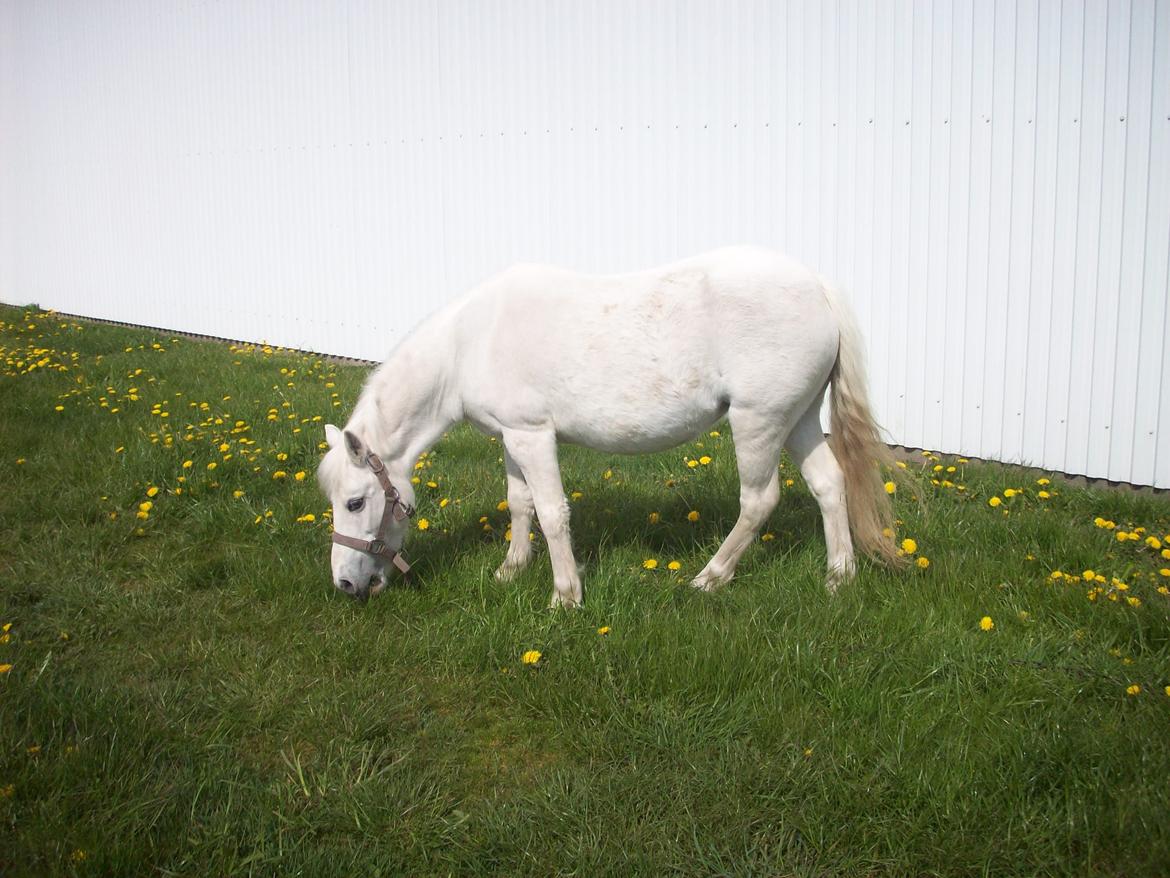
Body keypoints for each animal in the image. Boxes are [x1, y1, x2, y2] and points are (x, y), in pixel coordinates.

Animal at [320, 244, 903, 608]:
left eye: (354, 501)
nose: (345, 584)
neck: (470, 343)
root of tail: (818, 286)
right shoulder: (512, 436)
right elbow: (520, 504)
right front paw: (510, 570)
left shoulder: (533, 436)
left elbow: (553, 512)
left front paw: (564, 594)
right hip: (798, 418)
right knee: (829, 485)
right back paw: (838, 578)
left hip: (758, 421)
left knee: (759, 501)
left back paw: (709, 579)